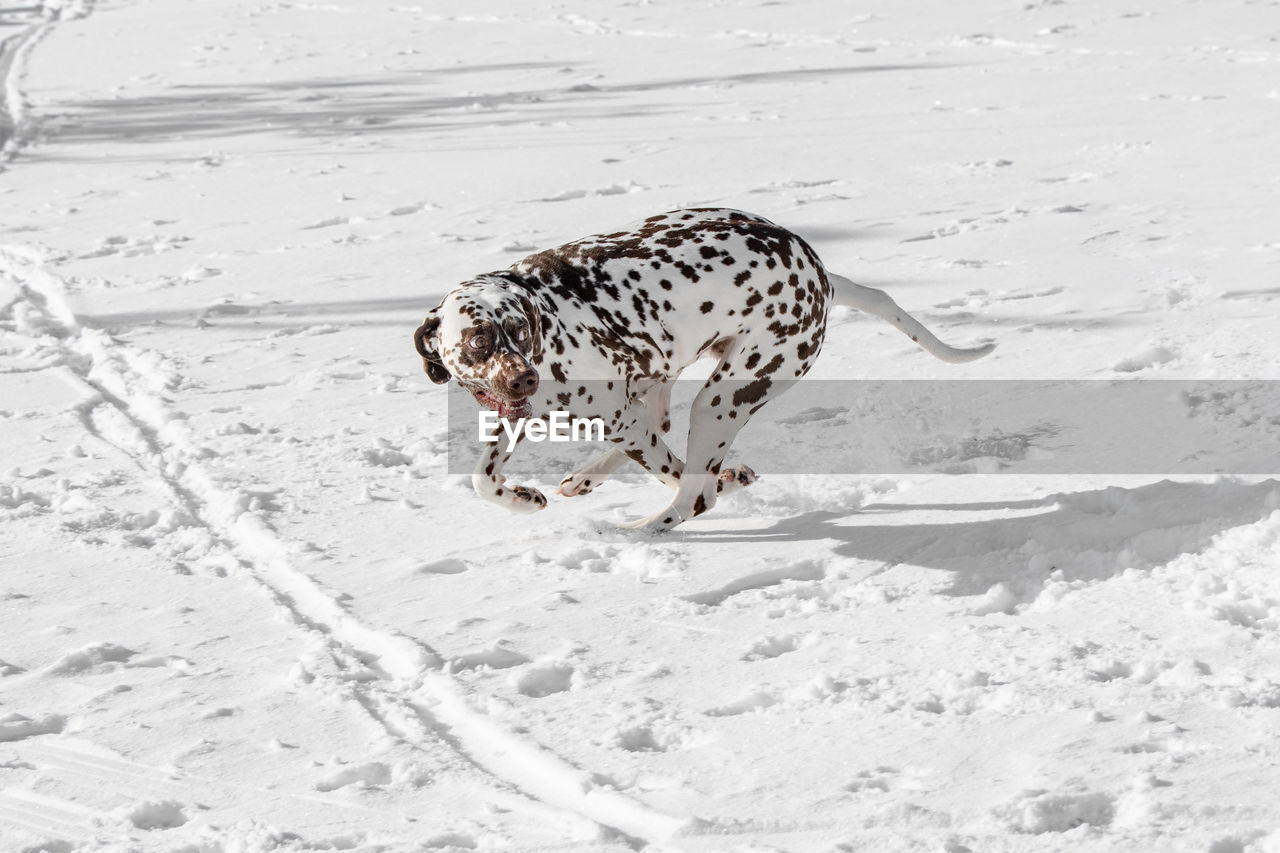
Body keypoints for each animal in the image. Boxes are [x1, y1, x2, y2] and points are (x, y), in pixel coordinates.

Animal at [414, 208, 993, 527]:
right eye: (479, 339)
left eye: (522, 329)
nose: (524, 377)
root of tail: (820, 271)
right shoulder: (516, 417)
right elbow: (481, 479)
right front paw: (522, 499)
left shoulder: (616, 417)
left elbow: (680, 474)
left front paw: (729, 480)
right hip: (672, 376)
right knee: (661, 423)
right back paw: (589, 477)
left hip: (720, 400)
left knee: (692, 493)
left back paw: (637, 528)